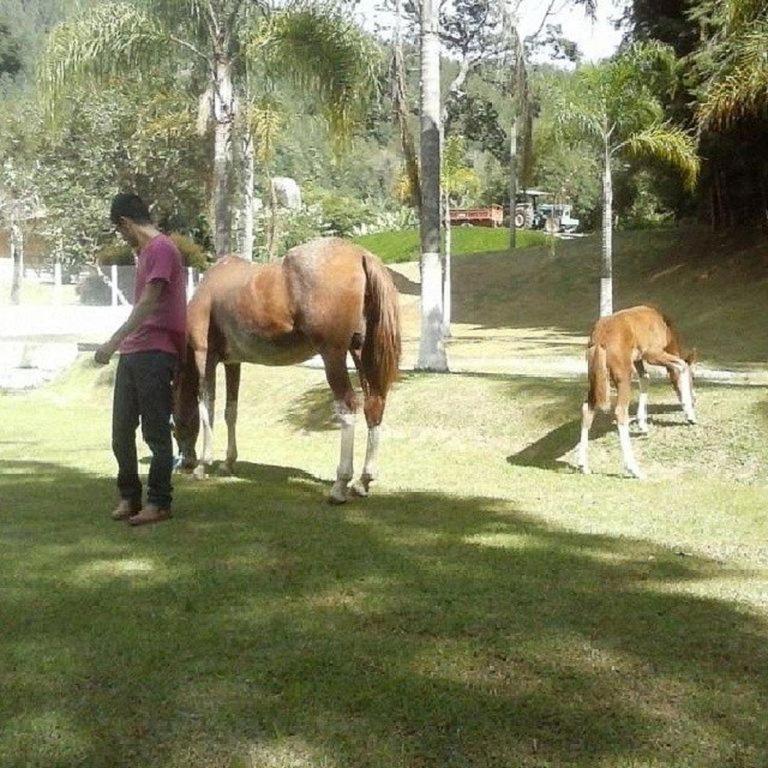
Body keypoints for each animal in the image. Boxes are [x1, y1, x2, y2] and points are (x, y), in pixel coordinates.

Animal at [174, 238, 402, 504]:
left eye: (175, 423)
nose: (184, 462)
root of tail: (360, 255)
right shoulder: (233, 363)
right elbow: (231, 411)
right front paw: (227, 463)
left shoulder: (204, 356)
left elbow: (206, 408)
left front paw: (203, 465)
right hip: (361, 353)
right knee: (374, 406)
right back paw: (364, 481)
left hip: (333, 356)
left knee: (348, 406)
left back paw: (340, 485)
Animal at [576, 304, 696, 476]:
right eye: (693, 378)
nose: (695, 398)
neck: (664, 324)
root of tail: (599, 339)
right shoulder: (653, 354)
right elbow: (681, 365)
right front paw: (690, 415)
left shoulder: (638, 359)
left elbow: (645, 378)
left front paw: (642, 425)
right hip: (623, 376)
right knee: (620, 412)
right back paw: (634, 469)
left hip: (595, 379)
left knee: (587, 408)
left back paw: (583, 465)